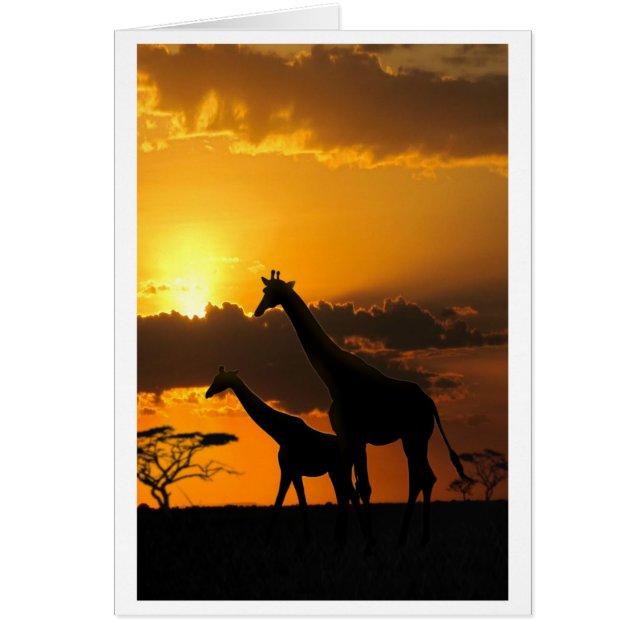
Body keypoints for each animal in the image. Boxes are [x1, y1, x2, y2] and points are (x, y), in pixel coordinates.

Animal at [205, 366, 360, 544]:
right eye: (214, 378)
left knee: (351, 496)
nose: (207, 393)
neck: (281, 433)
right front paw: (306, 539)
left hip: (340, 470)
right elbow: (296, 503)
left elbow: (283, 503)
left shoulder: (289, 470)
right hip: (334, 472)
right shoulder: (292, 472)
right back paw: (340, 539)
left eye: (219, 380)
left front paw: (268, 541)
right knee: (344, 498)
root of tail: (354, 450)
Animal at [253, 271, 468, 545]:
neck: (335, 378)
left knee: (423, 477)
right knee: (422, 478)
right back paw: (408, 539)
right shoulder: (353, 438)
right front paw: (350, 540)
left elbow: (357, 486)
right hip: (413, 438)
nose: (257, 311)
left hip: (416, 436)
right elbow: (354, 485)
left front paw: (363, 542)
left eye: (269, 292)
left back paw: (416, 539)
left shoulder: (353, 434)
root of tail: (429, 402)